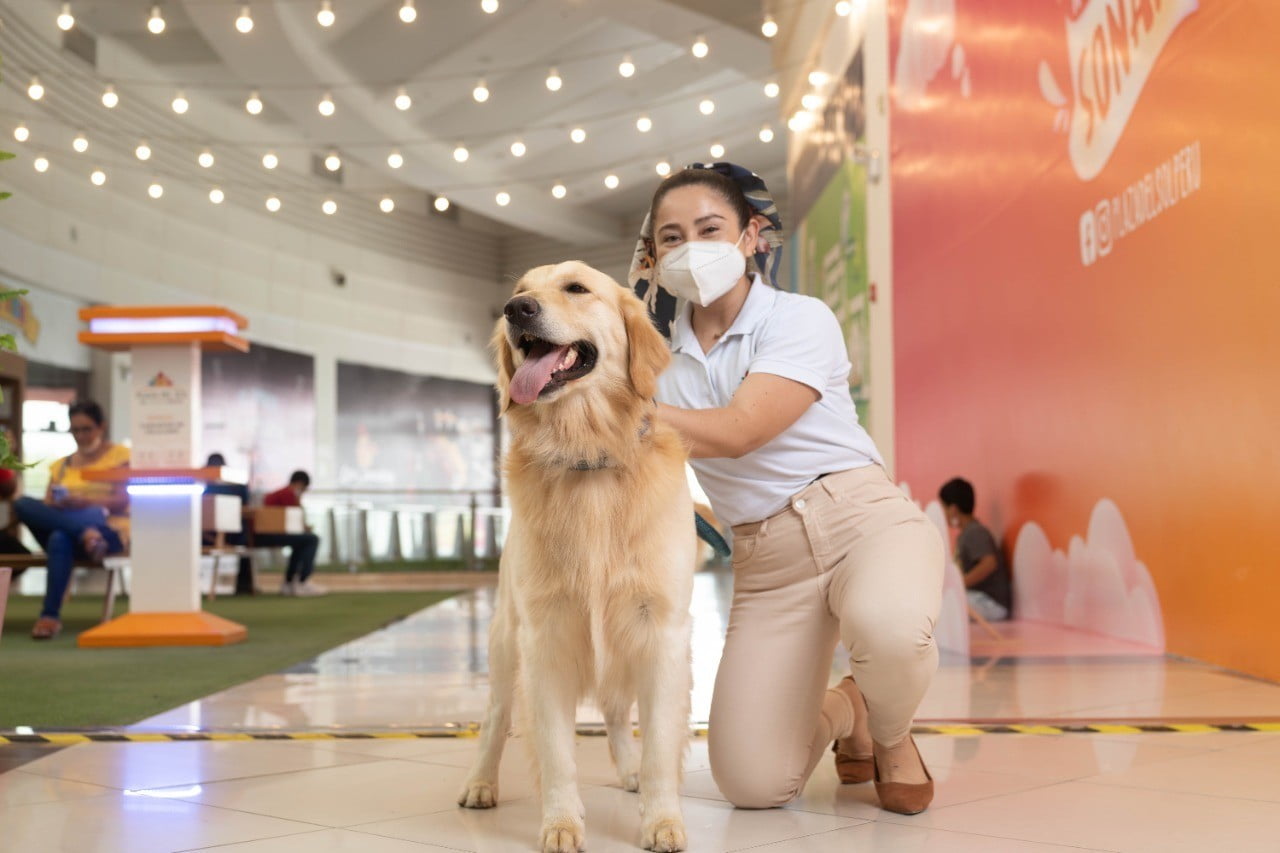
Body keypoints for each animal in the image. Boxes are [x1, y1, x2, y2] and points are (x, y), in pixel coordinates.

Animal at [460, 261, 696, 850]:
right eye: (521, 290)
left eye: (576, 289)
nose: (515, 309)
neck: (587, 454)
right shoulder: (544, 636)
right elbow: (555, 752)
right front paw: (561, 823)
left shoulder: (659, 631)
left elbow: (660, 746)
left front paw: (662, 819)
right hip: (505, 643)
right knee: (495, 717)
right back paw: (480, 783)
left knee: (615, 711)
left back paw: (629, 770)